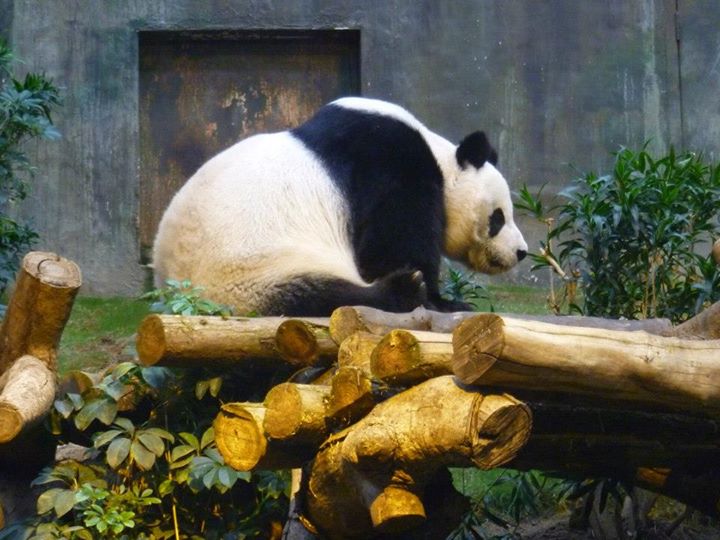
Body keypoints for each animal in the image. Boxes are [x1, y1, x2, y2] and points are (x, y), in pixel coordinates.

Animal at [152, 97, 524, 316]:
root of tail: (182, 301)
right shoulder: (389, 164)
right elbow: (394, 241)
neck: (440, 158)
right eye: (498, 218)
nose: (520, 252)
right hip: (253, 275)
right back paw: (402, 290)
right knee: (320, 296)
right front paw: (442, 298)